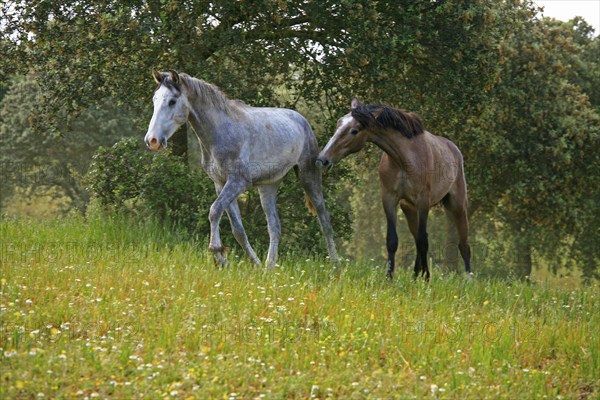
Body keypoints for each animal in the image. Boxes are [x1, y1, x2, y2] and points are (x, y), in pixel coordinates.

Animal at [316, 98, 472, 280]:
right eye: (338, 124)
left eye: (354, 131)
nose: (323, 159)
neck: (404, 159)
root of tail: (454, 149)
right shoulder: (389, 199)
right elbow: (393, 240)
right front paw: (390, 277)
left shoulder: (423, 202)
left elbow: (423, 241)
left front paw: (426, 278)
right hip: (409, 208)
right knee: (416, 238)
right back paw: (415, 275)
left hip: (457, 206)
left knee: (463, 244)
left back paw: (468, 279)